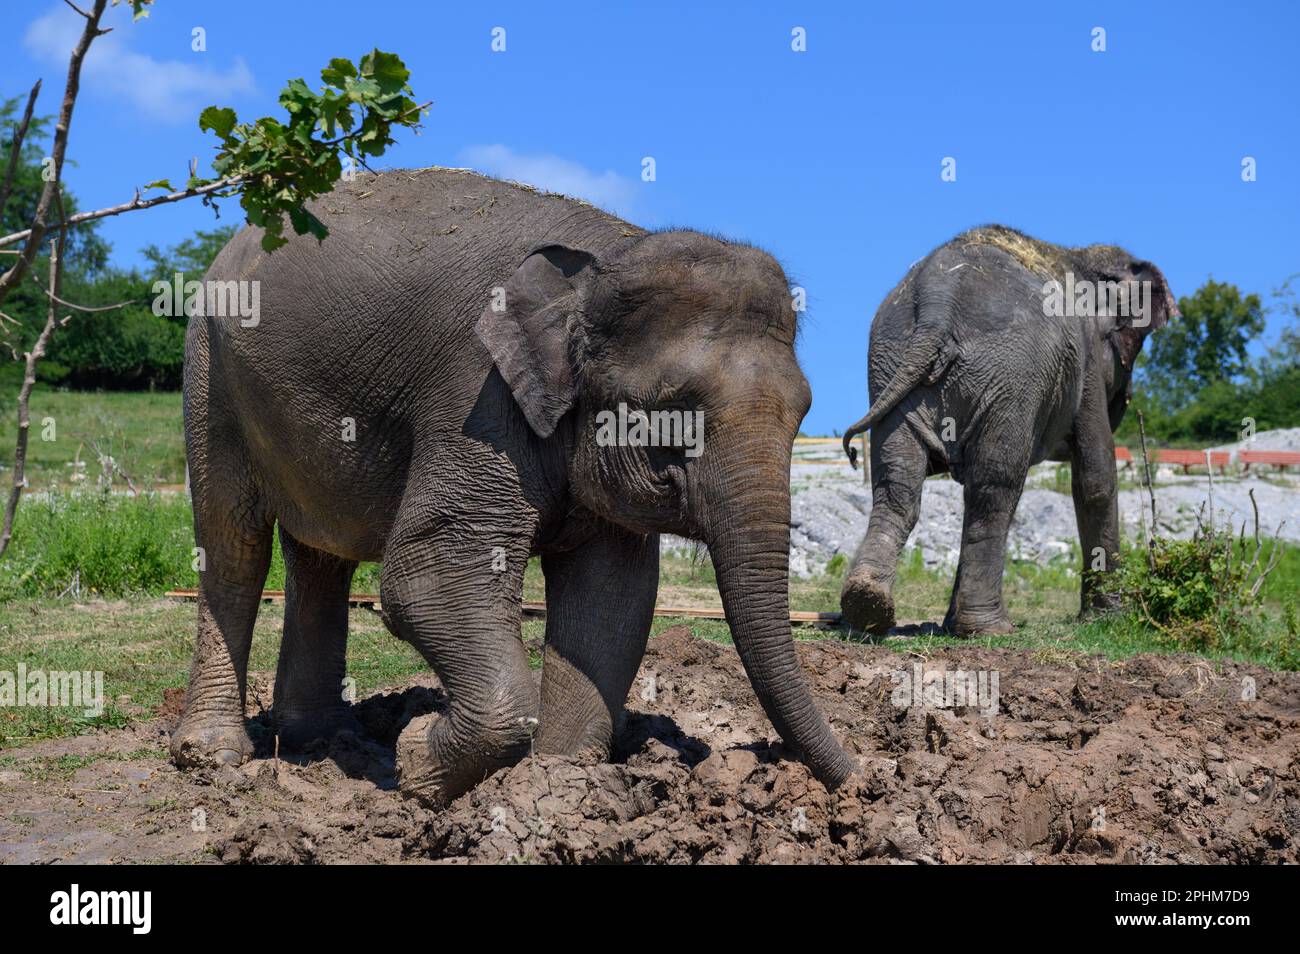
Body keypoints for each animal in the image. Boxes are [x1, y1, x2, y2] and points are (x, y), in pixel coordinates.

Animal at [171, 166, 854, 805]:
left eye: (804, 409)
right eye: (672, 412)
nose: (857, 778)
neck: (602, 261)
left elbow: (613, 595)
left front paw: (554, 783)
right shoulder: (476, 391)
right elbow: (428, 571)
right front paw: (418, 766)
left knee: (318, 557)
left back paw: (320, 740)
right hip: (209, 367)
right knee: (232, 544)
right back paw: (215, 756)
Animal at [838, 226, 1176, 636]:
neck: (1080, 257)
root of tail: (937, 301)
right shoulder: (1088, 361)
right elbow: (1095, 477)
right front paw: (1110, 618)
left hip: (890, 363)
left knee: (898, 483)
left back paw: (867, 603)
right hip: (1013, 375)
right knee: (995, 486)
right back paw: (990, 627)